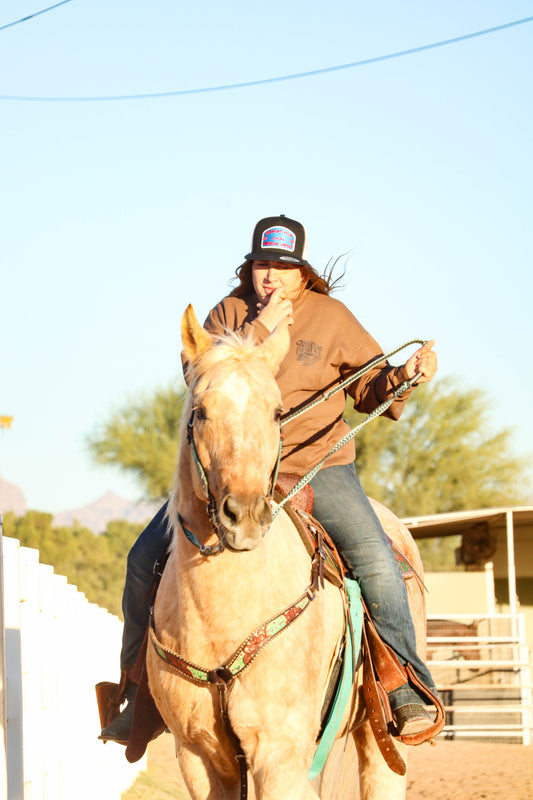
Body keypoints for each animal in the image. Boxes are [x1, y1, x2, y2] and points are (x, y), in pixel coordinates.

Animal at [147, 306, 428, 800]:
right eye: (200, 411)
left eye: (277, 412)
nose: (243, 514)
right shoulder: (197, 757)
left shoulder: (279, 753)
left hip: (381, 743)